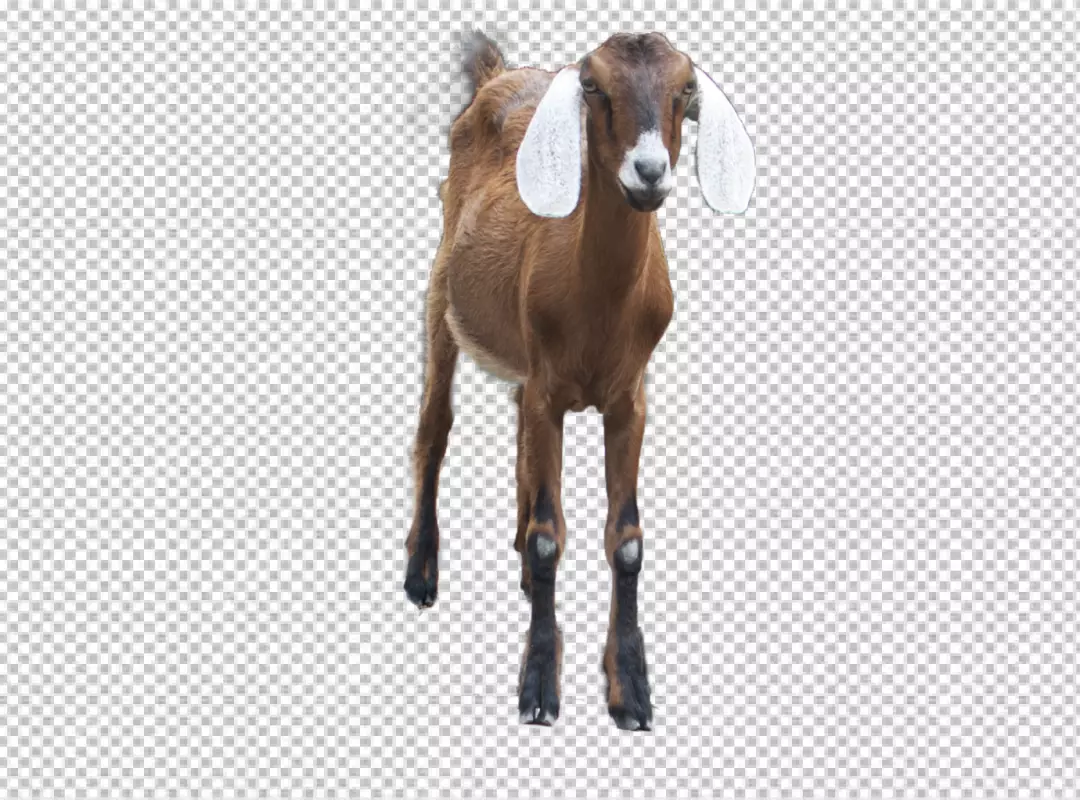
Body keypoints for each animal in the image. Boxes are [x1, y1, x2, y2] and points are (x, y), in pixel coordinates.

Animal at [404, 29, 756, 730]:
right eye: (593, 86)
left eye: (684, 90)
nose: (648, 172)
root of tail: (496, 75)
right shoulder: (550, 390)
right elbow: (549, 539)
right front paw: (540, 688)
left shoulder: (629, 400)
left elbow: (626, 541)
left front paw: (632, 690)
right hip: (441, 291)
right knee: (435, 429)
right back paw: (422, 573)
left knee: (516, 434)